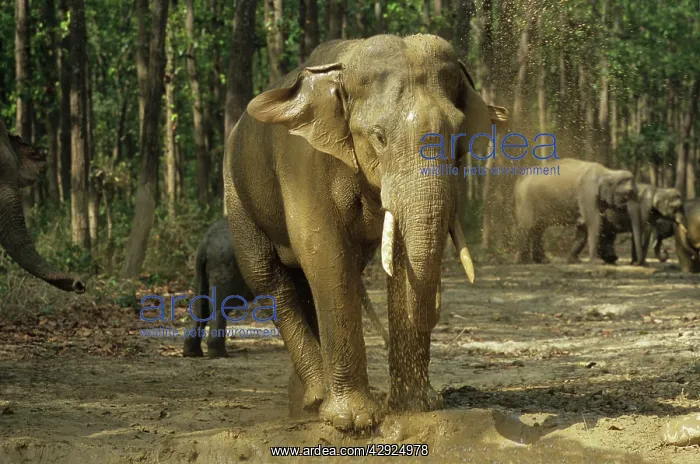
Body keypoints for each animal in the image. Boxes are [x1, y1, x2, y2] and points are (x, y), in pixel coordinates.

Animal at [183, 218, 389, 358]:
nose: (387, 344)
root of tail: (204, 244)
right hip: (226, 269)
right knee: (220, 307)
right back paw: (219, 354)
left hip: (204, 271)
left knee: (200, 305)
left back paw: (193, 353)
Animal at [223, 34, 508, 431]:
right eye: (379, 137)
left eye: (458, 138)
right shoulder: (304, 162)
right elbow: (324, 252)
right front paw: (354, 421)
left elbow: (398, 258)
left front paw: (416, 407)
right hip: (236, 194)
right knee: (270, 279)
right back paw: (316, 397)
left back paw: (307, 402)